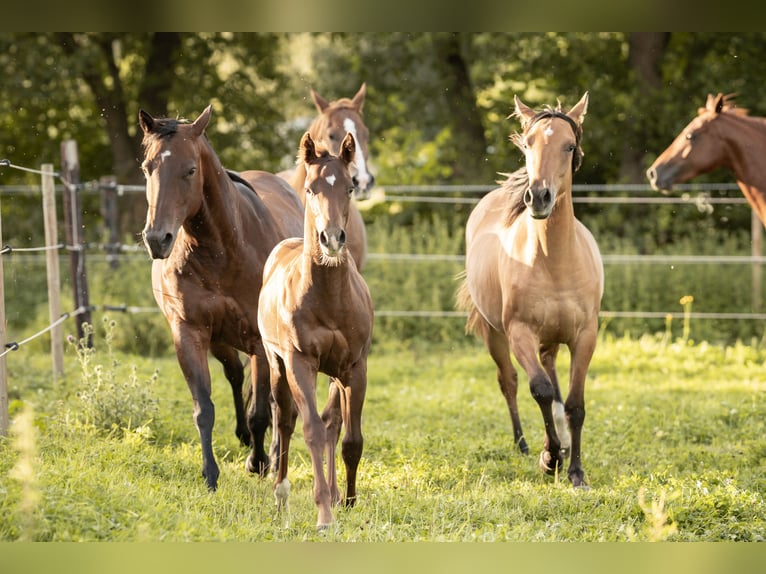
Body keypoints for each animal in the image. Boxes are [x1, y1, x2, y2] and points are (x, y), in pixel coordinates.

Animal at [140, 106, 304, 492]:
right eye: (146, 167)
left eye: (190, 169)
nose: (157, 239)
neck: (223, 250)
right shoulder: (189, 334)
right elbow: (204, 408)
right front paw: (210, 475)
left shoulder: (258, 342)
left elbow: (261, 411)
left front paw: (259, 463)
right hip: (220, 341)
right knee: (234, 374)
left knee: (279, 403)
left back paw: (273, 456)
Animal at [258, 132, 376, 532]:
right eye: (310, 188)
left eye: (350, 187)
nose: (332, 239)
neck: (328, 299)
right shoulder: (300, 363)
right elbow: (309, 428)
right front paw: (324, 513)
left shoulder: (355, 367)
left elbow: (350, 438)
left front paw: (350, 502)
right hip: (276, 364)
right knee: (285, 421)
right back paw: (280, 494)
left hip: (335, 373)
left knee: (333, 424)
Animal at [456, 94, 608, 490]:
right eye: (528, 144)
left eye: (568, 146)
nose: (538, 197)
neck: (554, 262)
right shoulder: (519, 333)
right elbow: (539, 389)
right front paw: (549, 459)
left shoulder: (585, 336)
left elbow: (573, 403)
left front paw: (576, 471)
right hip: (496, 335)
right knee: (509, 382)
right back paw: (524, 444)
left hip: (551, 338)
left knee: (553, 379)